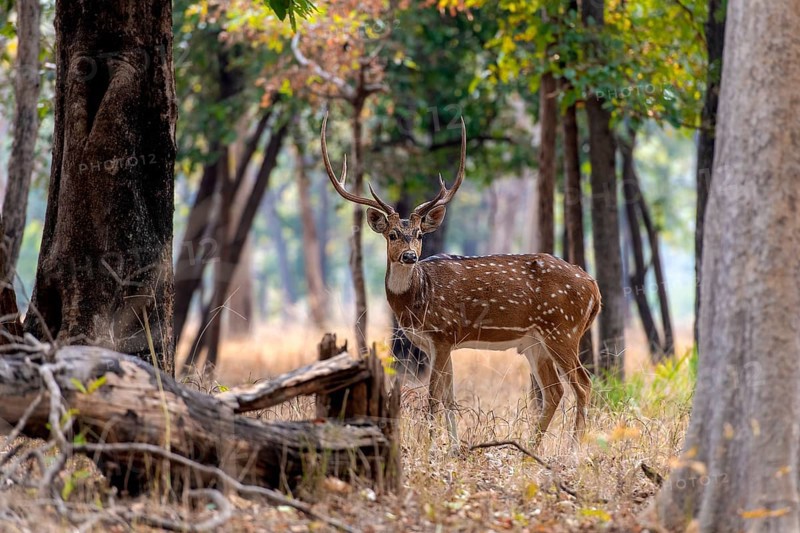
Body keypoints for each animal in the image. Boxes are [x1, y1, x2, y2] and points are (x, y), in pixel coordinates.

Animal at [321, 114, 601, 452]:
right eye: (392, 235)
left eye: (419, 234)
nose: (410, 256)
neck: (417, 301)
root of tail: (594, 288)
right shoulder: (436, 343)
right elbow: (449, 398)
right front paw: (453, 447)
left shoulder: (442, 333)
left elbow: (432, 398)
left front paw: (428, 446)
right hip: (536, 341)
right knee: (555, 390)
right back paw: (530, 448)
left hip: (563, 329)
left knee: (583, 384)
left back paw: (574, 448)